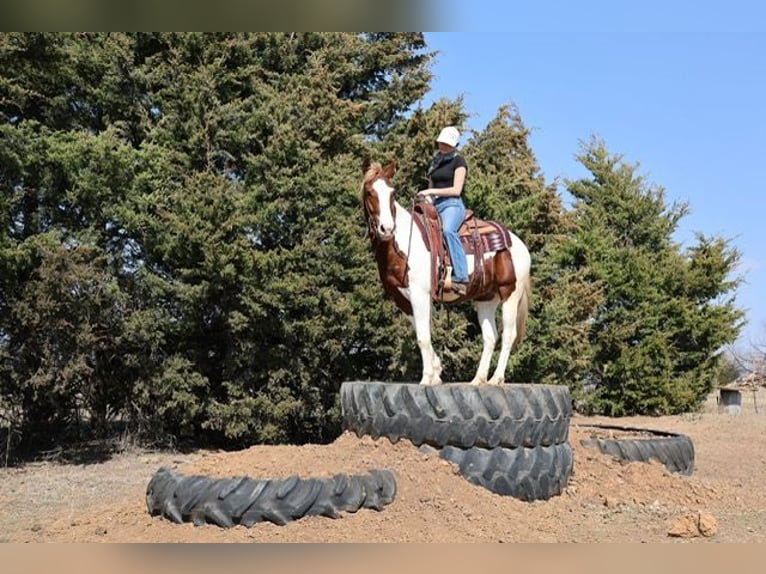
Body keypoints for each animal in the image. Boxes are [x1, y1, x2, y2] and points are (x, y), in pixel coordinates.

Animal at [361, 159, 532, 386]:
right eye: (369, 192)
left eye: (392, 193)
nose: (387, 229)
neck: (402, 242)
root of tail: (518, 243)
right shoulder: (402, 298)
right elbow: (421, 332)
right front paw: (436, 372)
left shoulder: (420, 294)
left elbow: (423, 337)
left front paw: (426, 378)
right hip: (486, 298)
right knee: (490, 337)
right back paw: (478, 379)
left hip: (510, 294)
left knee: (508, 336)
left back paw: (496, 379)